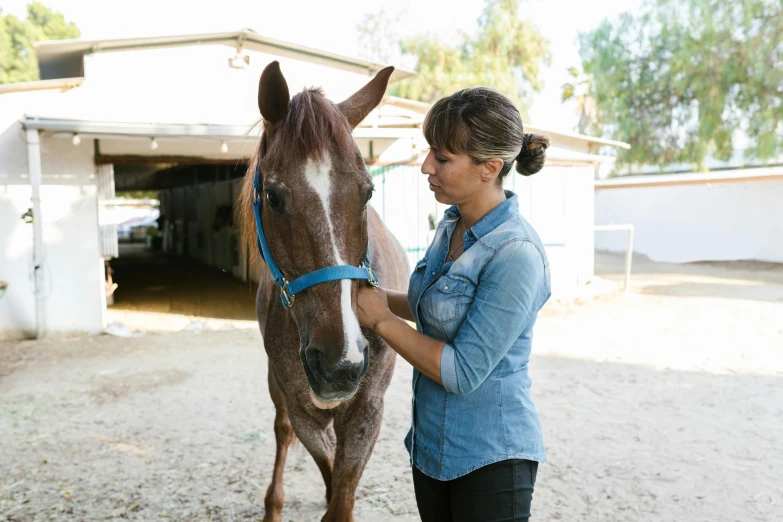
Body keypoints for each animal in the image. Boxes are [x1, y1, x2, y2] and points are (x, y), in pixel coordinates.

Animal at [239, 62, 410, 520]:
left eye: (368, 192)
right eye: (273, 197)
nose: (340, 363)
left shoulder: (367, 411)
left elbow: (341, 497)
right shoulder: (305, 412)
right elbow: (325, 465)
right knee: (281, 432)